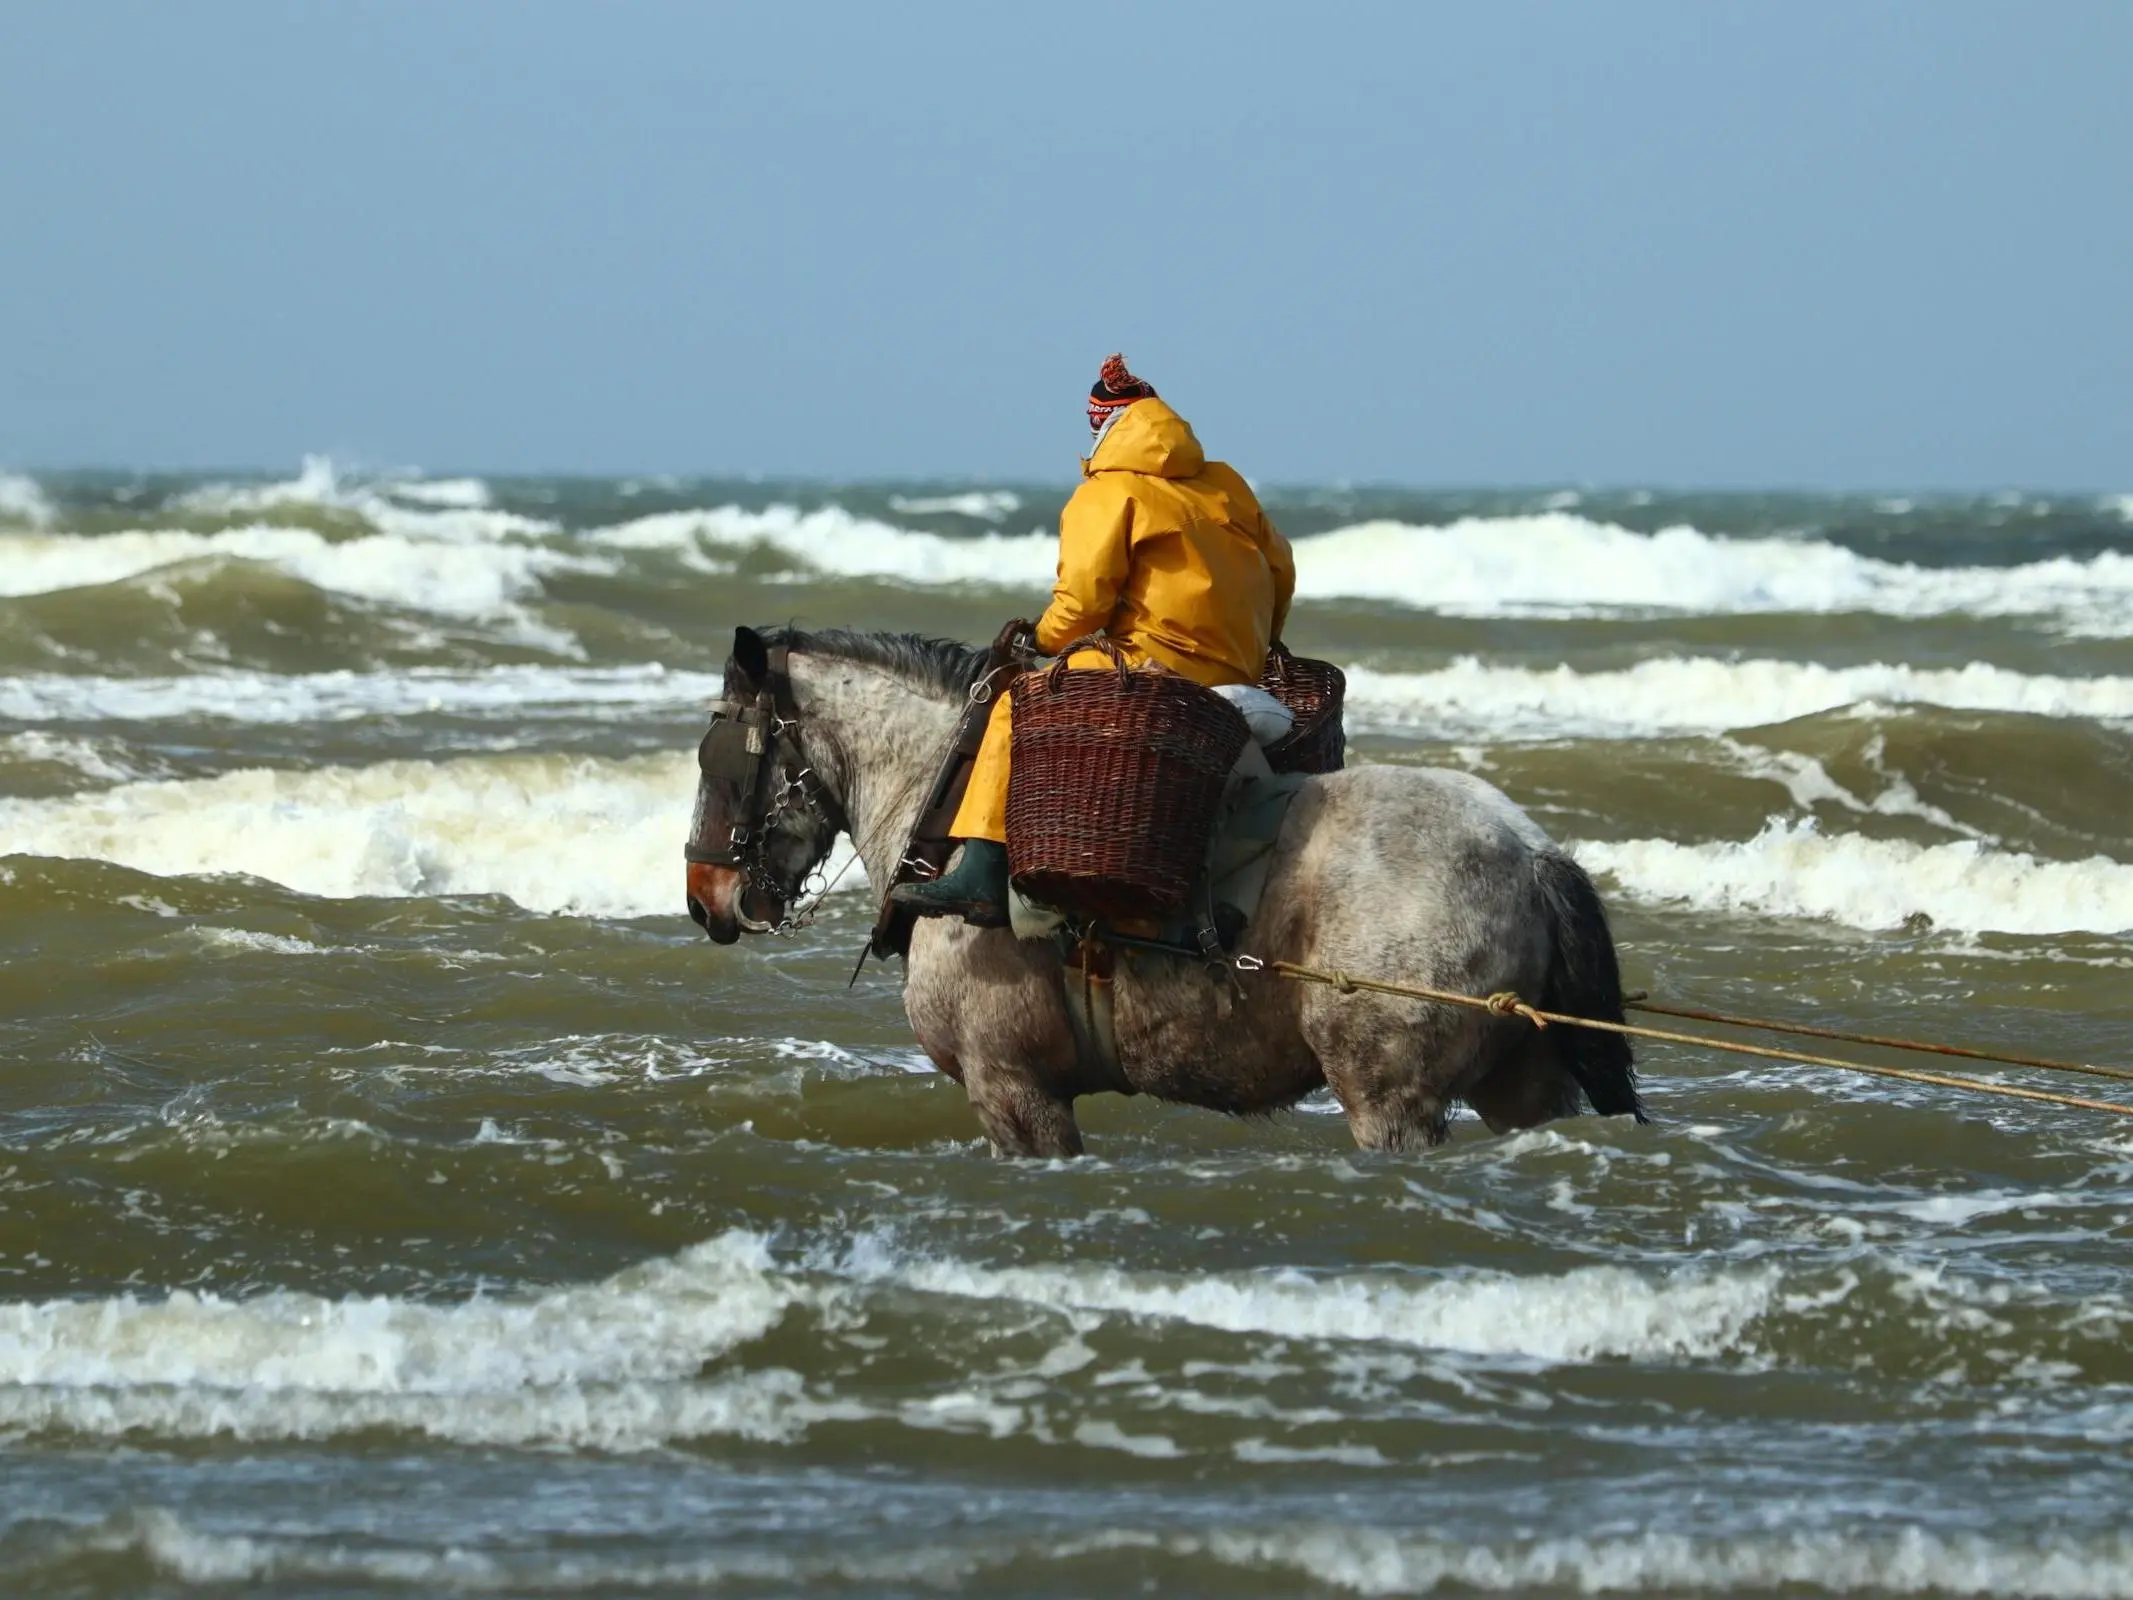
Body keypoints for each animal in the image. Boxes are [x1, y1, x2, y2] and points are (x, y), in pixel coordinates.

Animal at [691, 631, 1638, 1169]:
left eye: (717, 758)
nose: (705, 898)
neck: (946, 806)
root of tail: (1529, 851)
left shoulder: (1013, 1090)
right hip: (1521, 1086)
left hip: (1391, 1102)